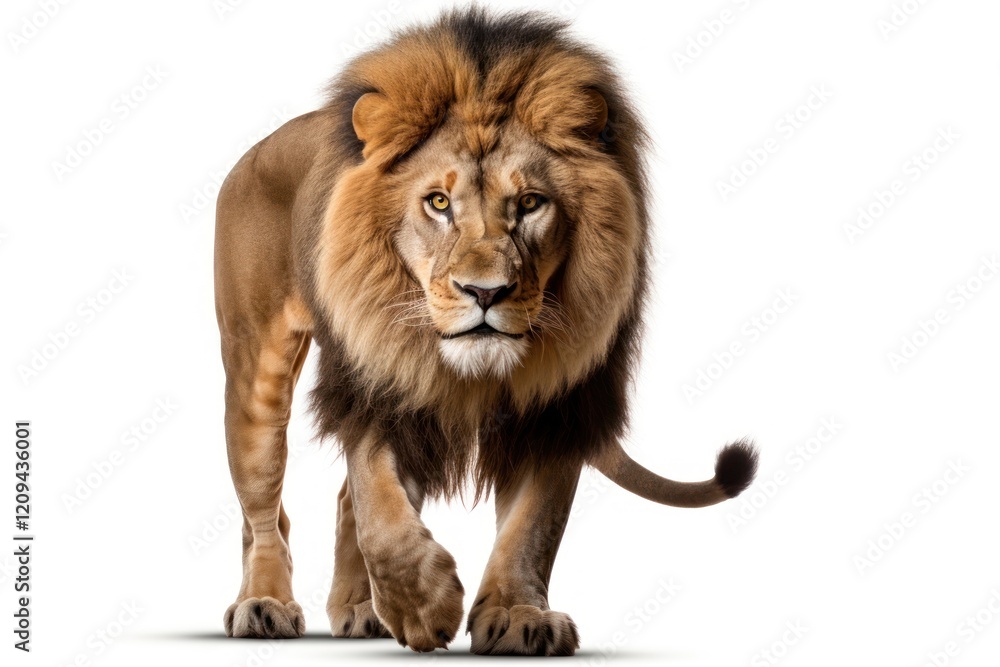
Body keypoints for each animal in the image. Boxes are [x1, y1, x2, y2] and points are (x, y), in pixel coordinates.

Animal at [214, 7, 758, 655]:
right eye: (438, 203)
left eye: (529, 203)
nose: (486, 292)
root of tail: (261, 144)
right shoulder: (379, 382)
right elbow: (380, 511)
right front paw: (424, 608)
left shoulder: (556, 407)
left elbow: (532, 528)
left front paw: (517, 616)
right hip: (256, 375)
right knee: (262, 512)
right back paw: (264, 605)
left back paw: (361, 610)